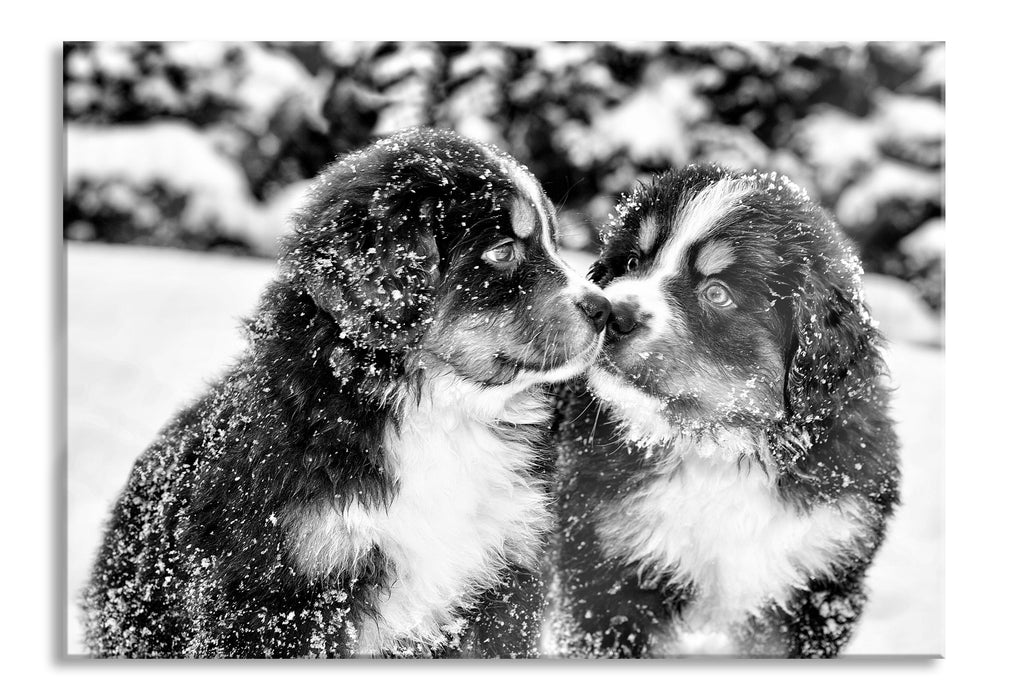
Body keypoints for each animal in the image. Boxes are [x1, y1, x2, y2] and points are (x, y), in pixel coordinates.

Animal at [80, 129, 605, 661]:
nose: (604, 308)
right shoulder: (278, 596)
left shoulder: (503, 582)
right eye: (501, 251)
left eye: (553, 241)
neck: (440, 413)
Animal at [548, 163, 904, 657]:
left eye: (717, 294)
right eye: (633, 262)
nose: (612, 314)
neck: (717, 450)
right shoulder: (608, 577)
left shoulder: (820, 585)